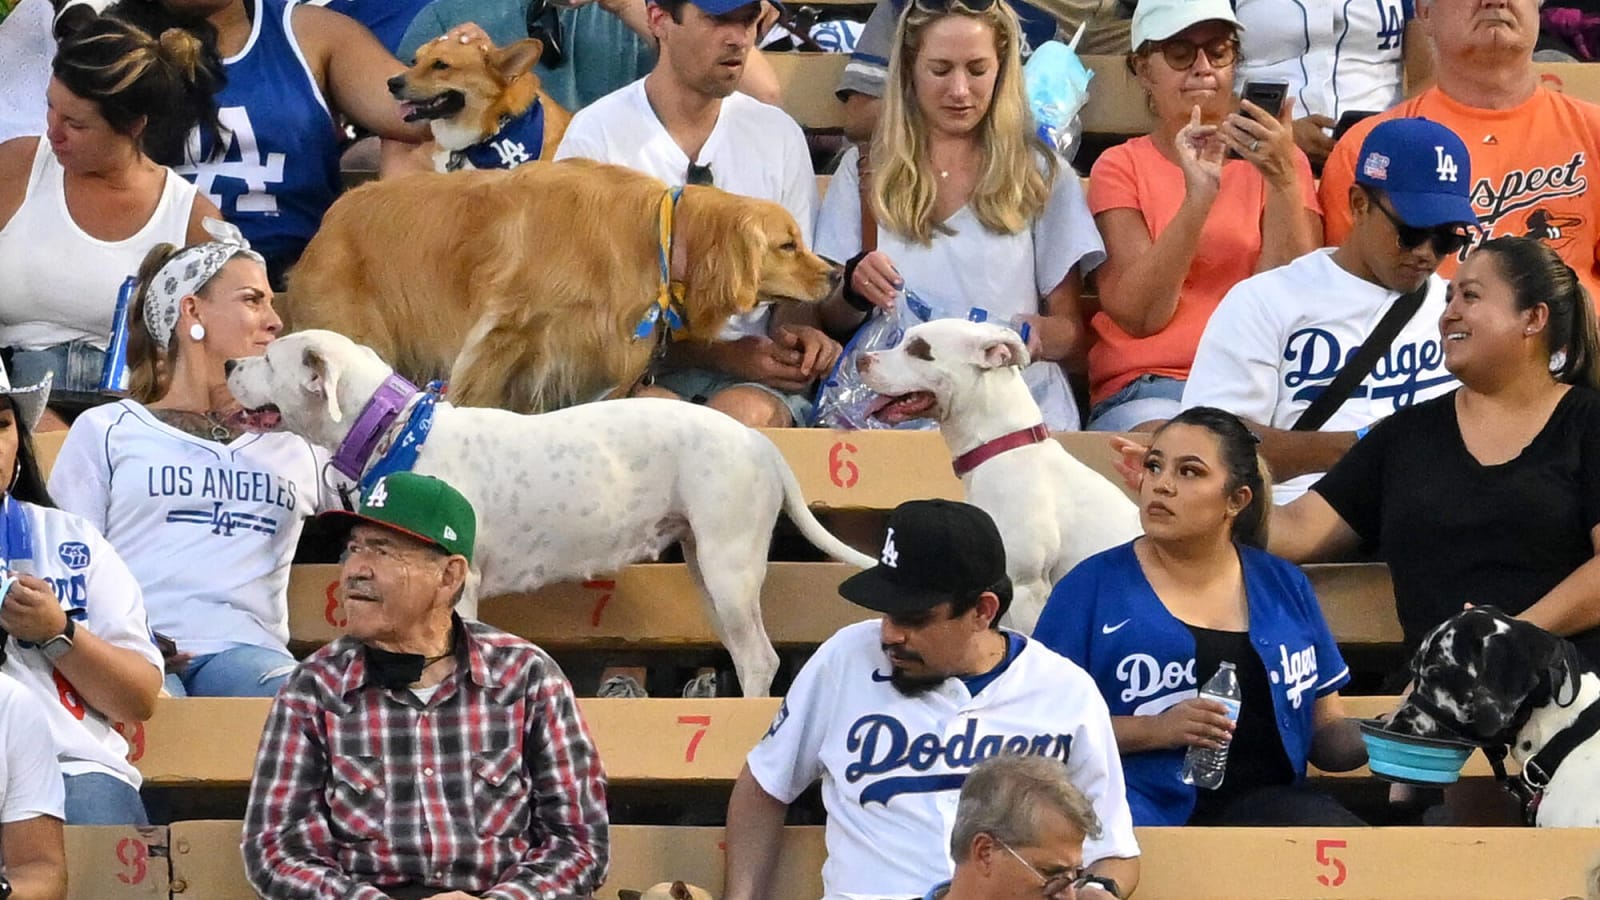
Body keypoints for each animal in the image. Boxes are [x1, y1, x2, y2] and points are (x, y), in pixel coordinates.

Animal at [222, 329, 876, 695]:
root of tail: (758, 442)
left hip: (729, 568)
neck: (396, 429)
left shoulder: (459, 586)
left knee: (762, 659)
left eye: (269, 358)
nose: (229, 364)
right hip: (707, 572)